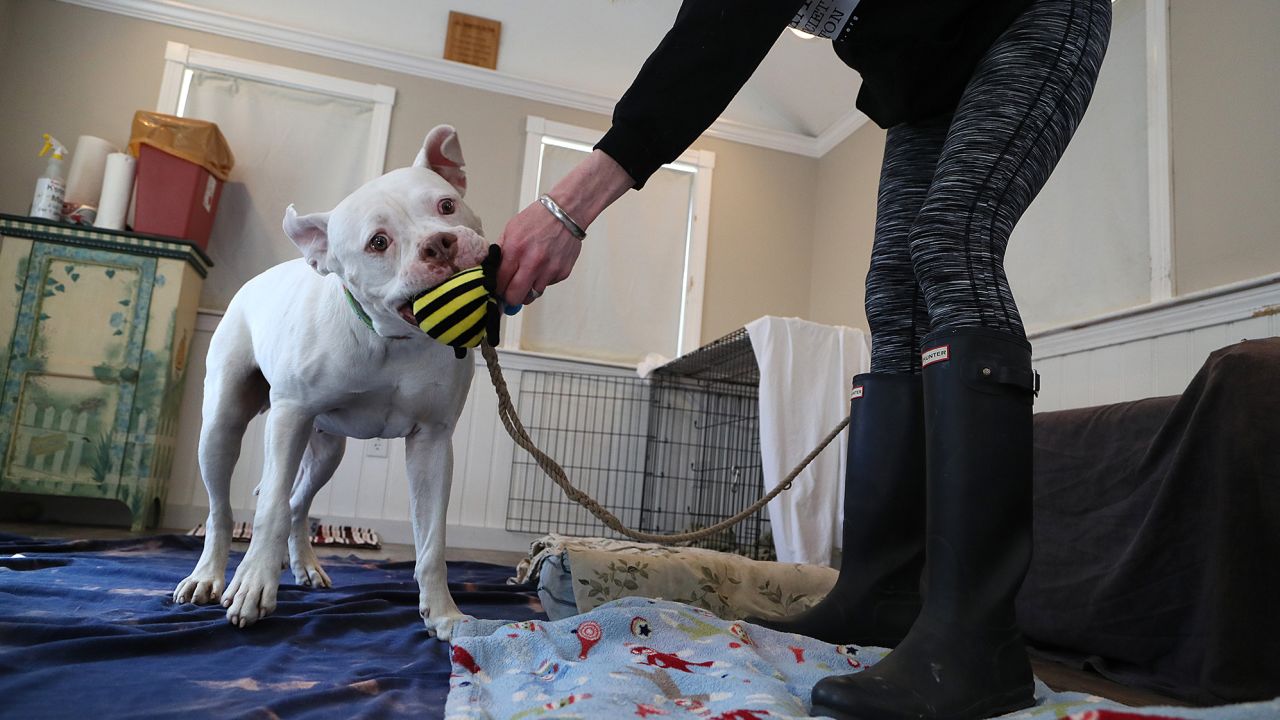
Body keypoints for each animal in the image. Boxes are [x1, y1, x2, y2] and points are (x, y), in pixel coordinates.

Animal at [172, 124, 486, 638]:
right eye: (378, 242)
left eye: (446, 205)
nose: (439, 244)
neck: (390, 339)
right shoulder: (290, 416)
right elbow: (270, 508)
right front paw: (253, 585)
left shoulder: (433, 442)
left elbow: (431, 541)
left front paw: (443, 613)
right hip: (222, 427)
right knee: (226, 508)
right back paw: (210, 576)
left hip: (326, 450)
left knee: (300, 502)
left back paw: (302, 564)